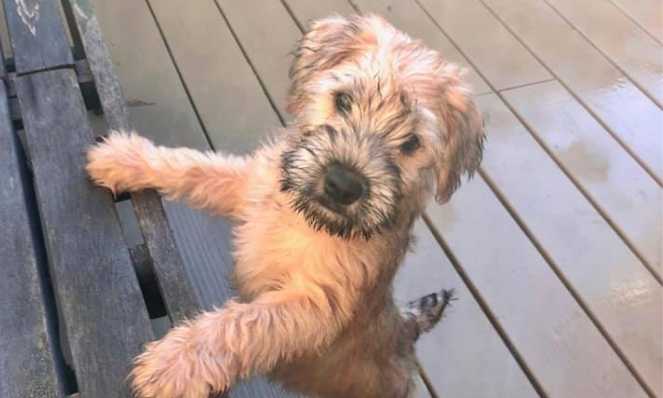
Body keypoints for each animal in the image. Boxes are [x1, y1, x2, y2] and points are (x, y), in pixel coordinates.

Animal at [85, 13, 486, 398]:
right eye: (343, 100)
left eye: (412, 143)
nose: (343, 184)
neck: (303, 218)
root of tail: (405, 330)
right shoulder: (251, 187)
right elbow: (195, 167)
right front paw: (125, 158)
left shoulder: (316, 303)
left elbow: (243, 324)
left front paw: (176, 360)